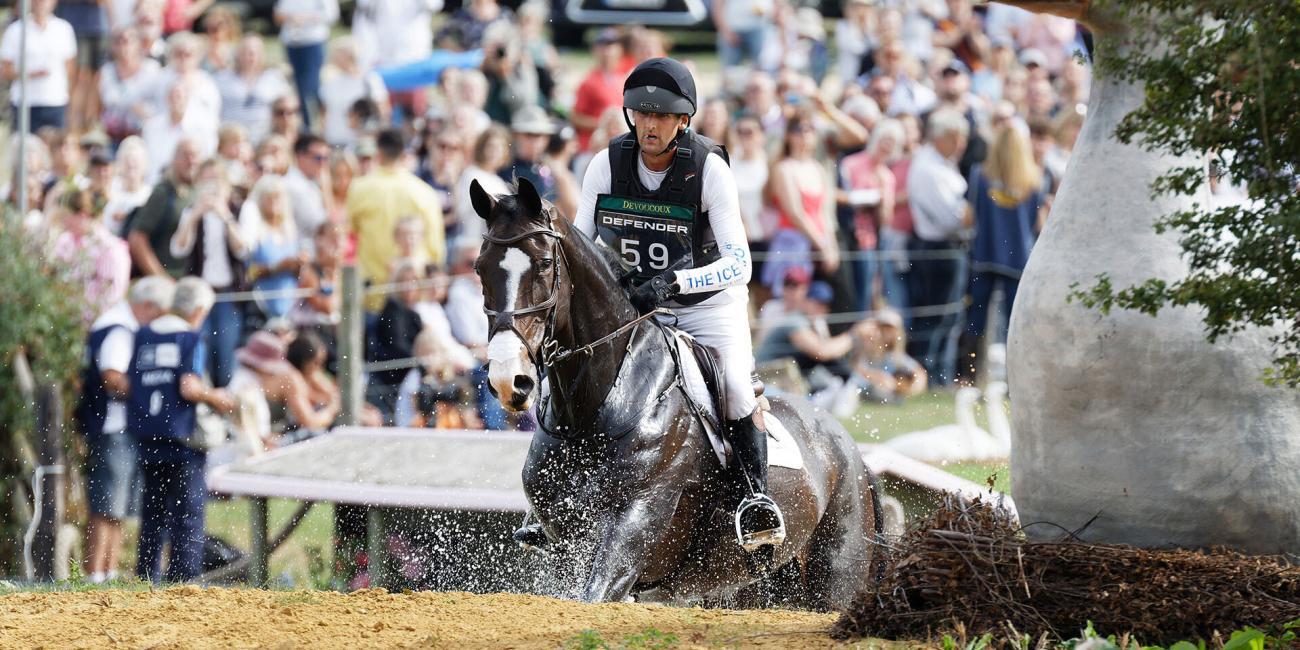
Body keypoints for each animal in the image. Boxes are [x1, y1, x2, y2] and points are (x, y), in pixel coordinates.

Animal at [467, 178, 883, 608]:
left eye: (544, 264)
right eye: (480, 268)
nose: (509, 380)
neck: (591, 411)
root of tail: (851, 452)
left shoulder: (635, 519)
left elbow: (595, 595)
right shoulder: (566, 540)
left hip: (834, 576)